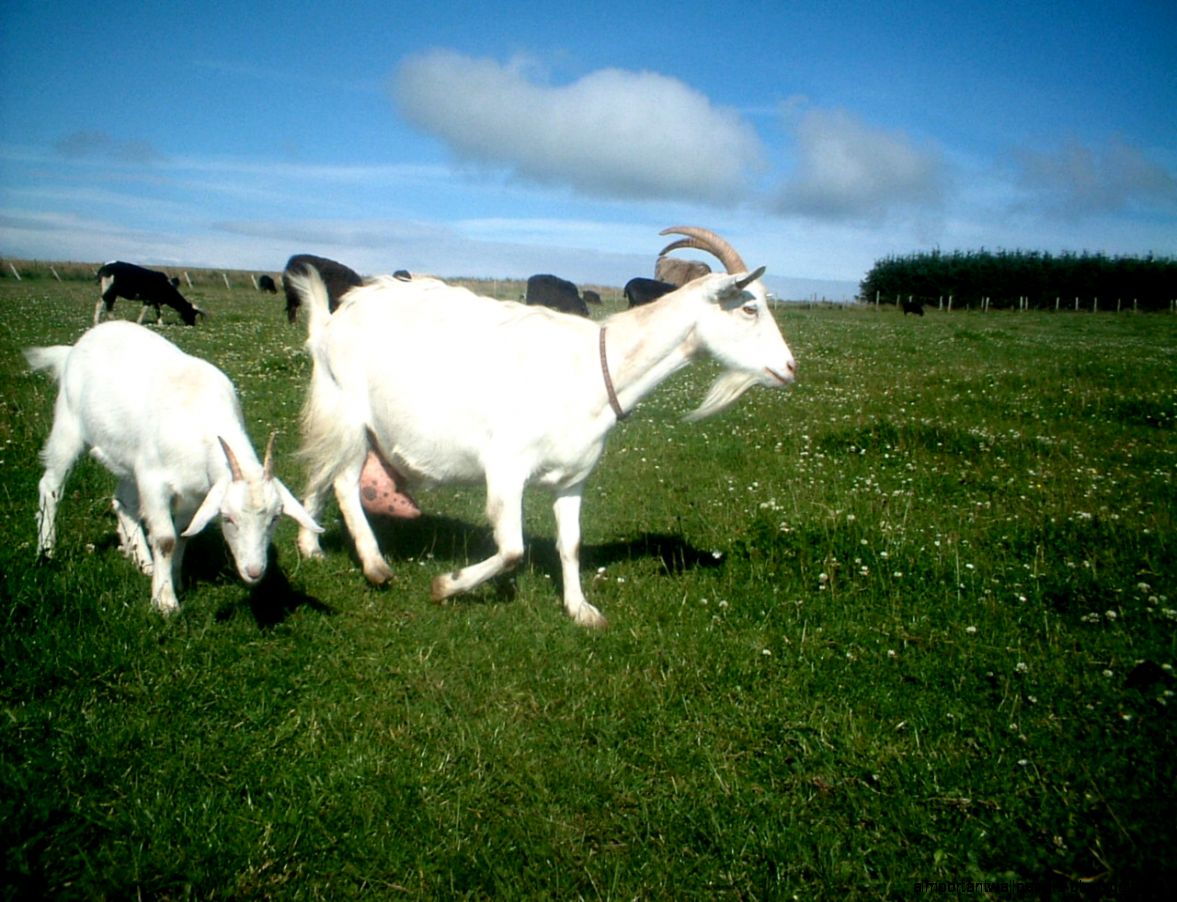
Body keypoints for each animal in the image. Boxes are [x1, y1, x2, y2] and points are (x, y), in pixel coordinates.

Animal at [25, 321, 321, 613]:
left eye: (275, 518)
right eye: (227, 518)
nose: (255, 571)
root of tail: (74, 348)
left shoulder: (196, 494)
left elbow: (183, 535)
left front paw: (173, 580)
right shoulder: (153, 481)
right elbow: (166, 539)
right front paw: (165, 601)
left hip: (129, 460)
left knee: (123, 502)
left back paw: (143, 561)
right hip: (69, 425)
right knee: (51, 487)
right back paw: (47, 551)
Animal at [290, 226, 796, 628]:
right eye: (749, 308)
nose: (789, 367)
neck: (594, 368)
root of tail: (331, 320)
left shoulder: (574, 478)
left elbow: (570, 544)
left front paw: (580, 610)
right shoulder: (505, 469)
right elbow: (512, 548)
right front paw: (446, 585)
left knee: (321, 470)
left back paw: (312, 546)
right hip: (346, 411)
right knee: (340, 480)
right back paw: (373, 565)